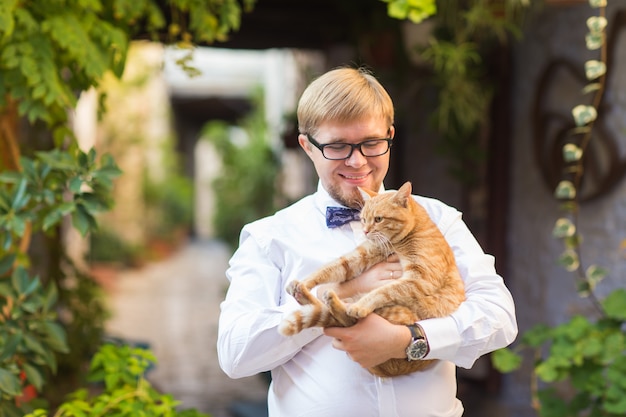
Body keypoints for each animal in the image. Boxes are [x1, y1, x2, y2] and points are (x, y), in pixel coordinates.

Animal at [278, 180, 464, 376]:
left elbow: (384, 290)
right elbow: (331, 268)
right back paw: (311, 296)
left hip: (400, 313)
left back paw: (340, 304)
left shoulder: (421, 279)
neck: (399, 242)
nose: (366, 231)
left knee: (346, 319)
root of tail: (387, 371)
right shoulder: (361, 256)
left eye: (379, 219)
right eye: (363, 219)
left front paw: (361, 306)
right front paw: (305, 283)